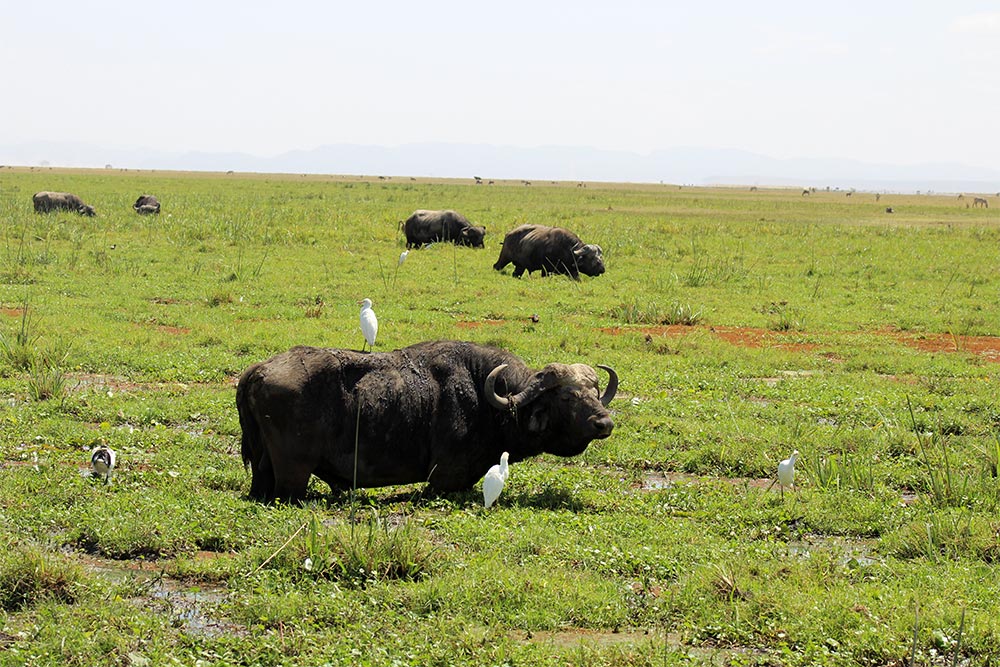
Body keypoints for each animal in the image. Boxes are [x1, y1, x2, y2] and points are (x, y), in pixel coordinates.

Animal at [236, 340, 618, 502]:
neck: (486, 396)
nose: (604, 423)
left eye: (594, 391)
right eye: (566, 397)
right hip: (293, 474)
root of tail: (258, 370)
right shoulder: (444, 480)